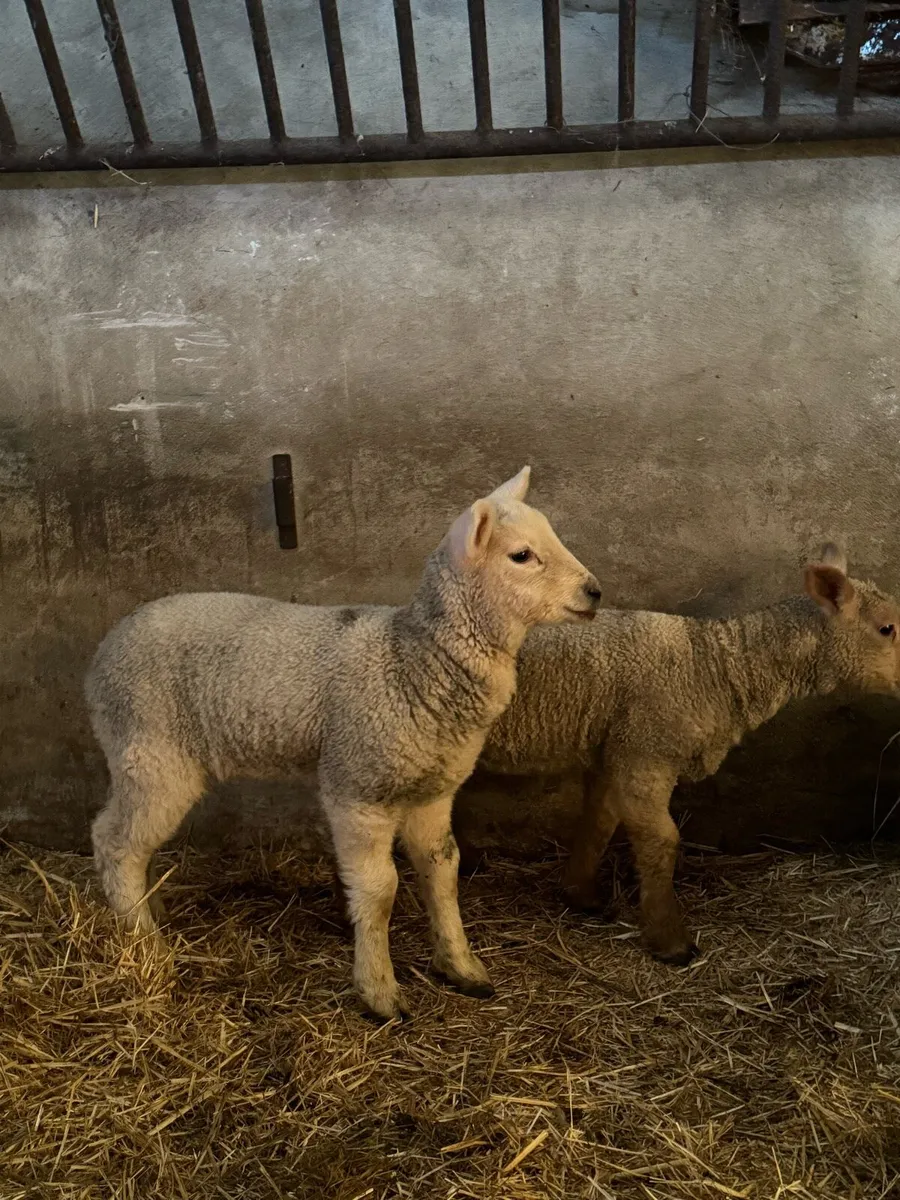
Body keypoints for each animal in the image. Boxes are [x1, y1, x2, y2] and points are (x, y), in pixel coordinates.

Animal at [86, 468, 602, 1019]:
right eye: (521, 555)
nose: (594, 591)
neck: (414, 660)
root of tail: (103, 654)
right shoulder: (358, 786)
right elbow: (380, 889)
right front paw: (379, 992)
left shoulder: (434, 790)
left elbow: (443, 869)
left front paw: (461, 967)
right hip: (151, 749)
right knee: (115, 842)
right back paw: (144, 942)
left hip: (142, 756)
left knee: (130, 840)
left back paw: (151, 910)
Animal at [474, 545, 900, 966]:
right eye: (886, 628)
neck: (713, 665)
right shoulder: (648, 751)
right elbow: (661, 841)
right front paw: (671, 942)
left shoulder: (617, 748)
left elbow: (601, 821)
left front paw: (581, 895)